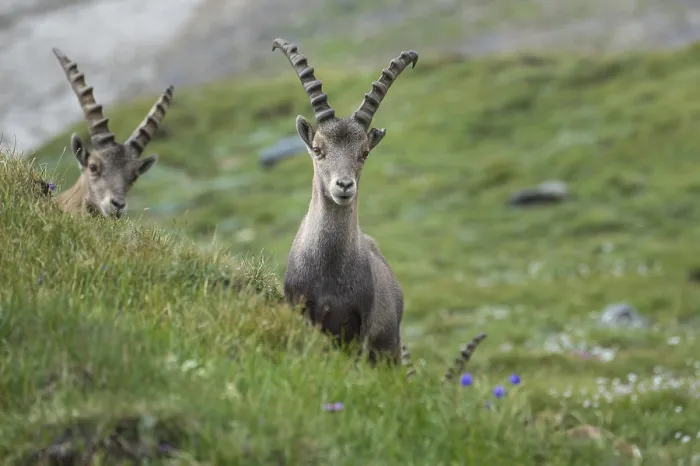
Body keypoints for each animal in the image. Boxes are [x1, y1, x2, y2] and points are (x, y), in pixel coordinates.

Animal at [272, 38, 486, 380]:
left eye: (363, 152)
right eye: (318, 149)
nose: (344, 186)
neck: (330, 268)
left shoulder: (361, 326)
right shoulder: (300, 309)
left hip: (390, 349)